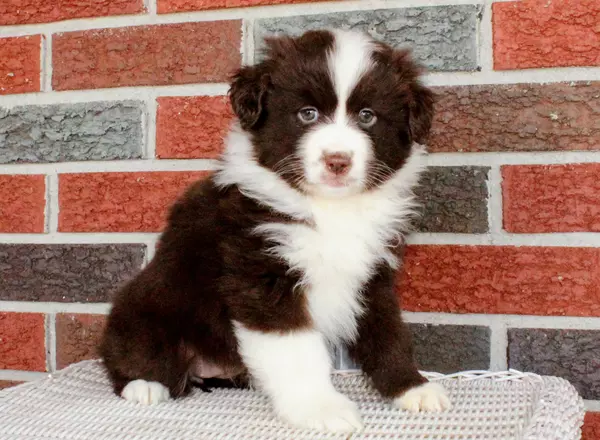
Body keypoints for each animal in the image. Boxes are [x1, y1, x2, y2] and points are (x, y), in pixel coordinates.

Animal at [101, 28, 450, 434]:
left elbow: (389, 332)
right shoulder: (265, 277)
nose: (337, 161)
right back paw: (144, 385)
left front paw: (412, 388)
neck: (330, 209)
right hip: (147, 308)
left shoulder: (371, 276)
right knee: (131, 354)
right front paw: (320, 408)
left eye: (367, 116)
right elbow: (297, 353)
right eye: (307, 113)